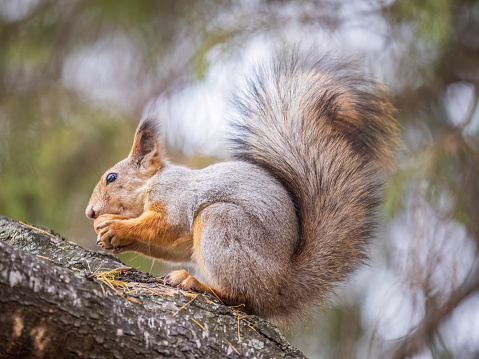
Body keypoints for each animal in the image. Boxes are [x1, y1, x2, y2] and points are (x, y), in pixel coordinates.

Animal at [85, 48, 398, 330]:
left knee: (241, 298)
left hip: (221, 225)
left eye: (111, 177)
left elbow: (167, 225)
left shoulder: (175, 198)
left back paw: (197, 283)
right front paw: (113, 238)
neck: (151, 184)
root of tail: (280, 286)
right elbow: (171, 245)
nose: (90, 213)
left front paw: (115, 225)